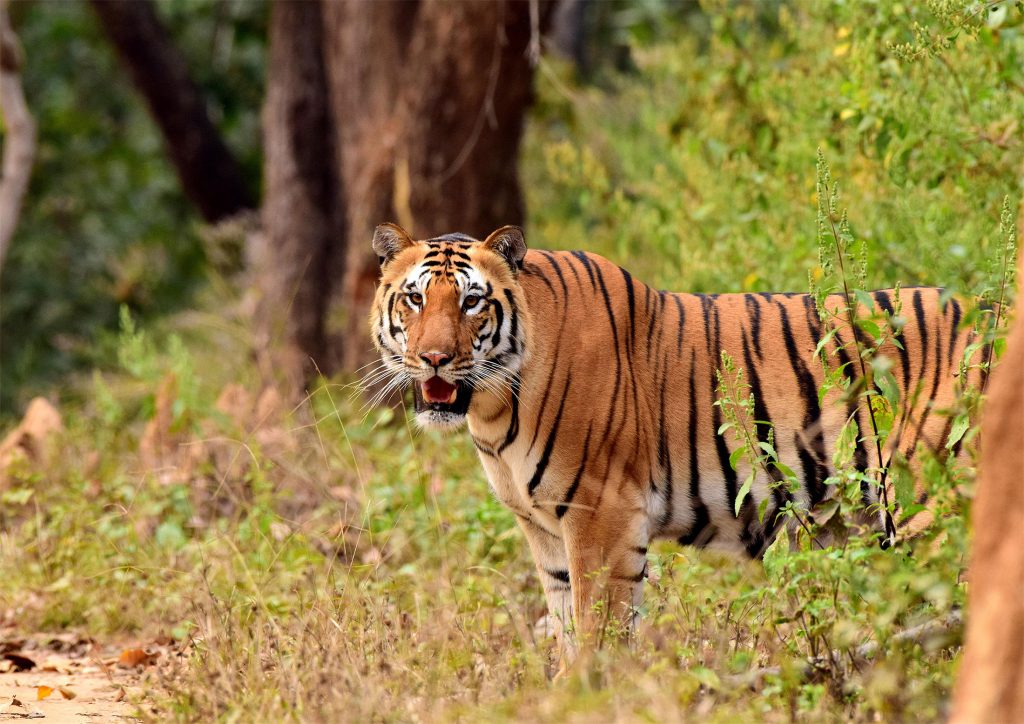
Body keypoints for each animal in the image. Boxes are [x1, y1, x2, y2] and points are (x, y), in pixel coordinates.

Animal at [368, 221, 983, 651]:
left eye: (471, 300)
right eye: (415, 298)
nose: (435, 358)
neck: (494, 408)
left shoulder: (601, 515)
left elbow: (599, 633)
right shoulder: (544, 530)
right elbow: (568, 629)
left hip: (931, 507)